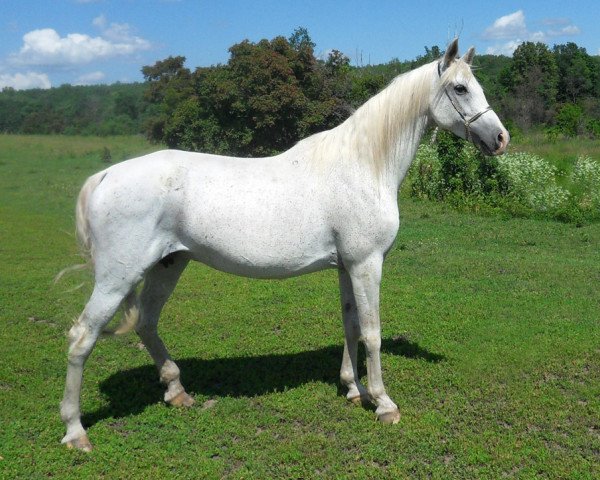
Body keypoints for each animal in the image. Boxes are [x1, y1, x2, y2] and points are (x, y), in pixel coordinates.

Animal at [61, 40, 508, 450]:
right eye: (461, 89)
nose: (500, 138)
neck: (364, 165)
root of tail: (105, 176)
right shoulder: (367, 264)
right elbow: (372, 331)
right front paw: (383, 403)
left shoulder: (347, 266)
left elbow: (350, 325)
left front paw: (352, 389)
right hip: (118, 278)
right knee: (82, 337)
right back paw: (75, 431)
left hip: (168, 264)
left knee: (147, 323)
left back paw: (177, 393)